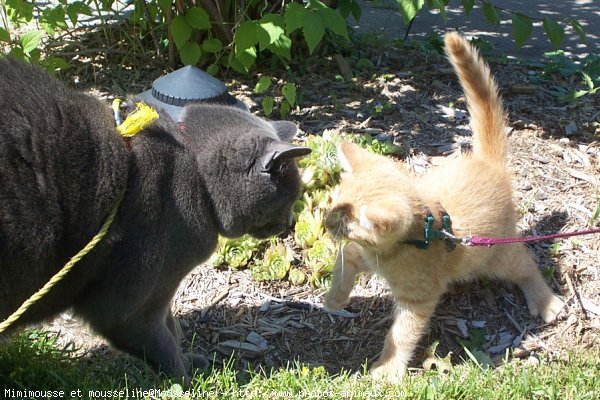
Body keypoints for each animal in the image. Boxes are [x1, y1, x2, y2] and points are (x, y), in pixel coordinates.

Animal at [0, 58, 310, 382]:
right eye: (289, 198)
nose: (289, 223)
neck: (195, 169)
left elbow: (171, 326)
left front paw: (193, 363)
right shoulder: (131, 304)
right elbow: (160, 340)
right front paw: (187, 380)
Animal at [324, 31, 564, 382]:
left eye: (344, 223)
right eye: (331, 203)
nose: (325, 222)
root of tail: (486, 163)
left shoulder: (418, 298)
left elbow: (401, 334)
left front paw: (387, 369)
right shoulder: (360, 253)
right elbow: (343, 265)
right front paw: (334, 298)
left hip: (497, 253)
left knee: (525, 263)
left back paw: (546, 300)